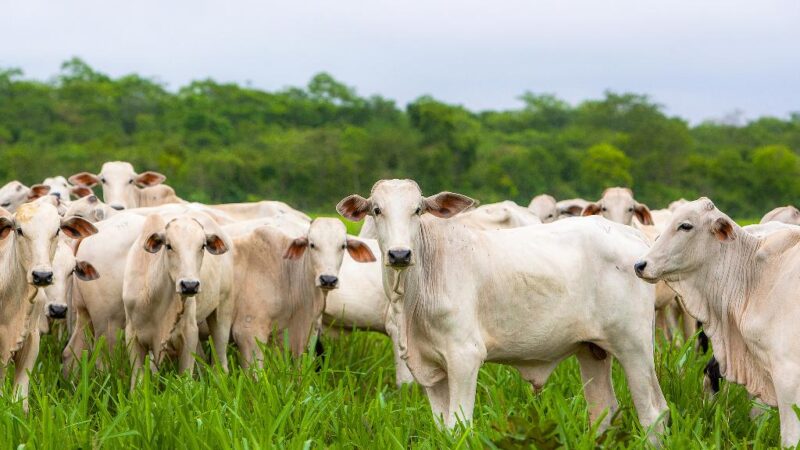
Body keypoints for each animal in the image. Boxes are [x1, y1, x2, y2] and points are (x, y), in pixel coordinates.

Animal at [338, 178, 668, 440]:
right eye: (376, 210)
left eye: (417, 209)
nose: (399, 254)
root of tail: (631, 235)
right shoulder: (430, 369)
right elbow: (443, 428)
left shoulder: (465, 357)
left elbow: (459, 425)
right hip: (592, 350)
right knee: (604, 412)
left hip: (634, 347)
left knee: (653, 413)